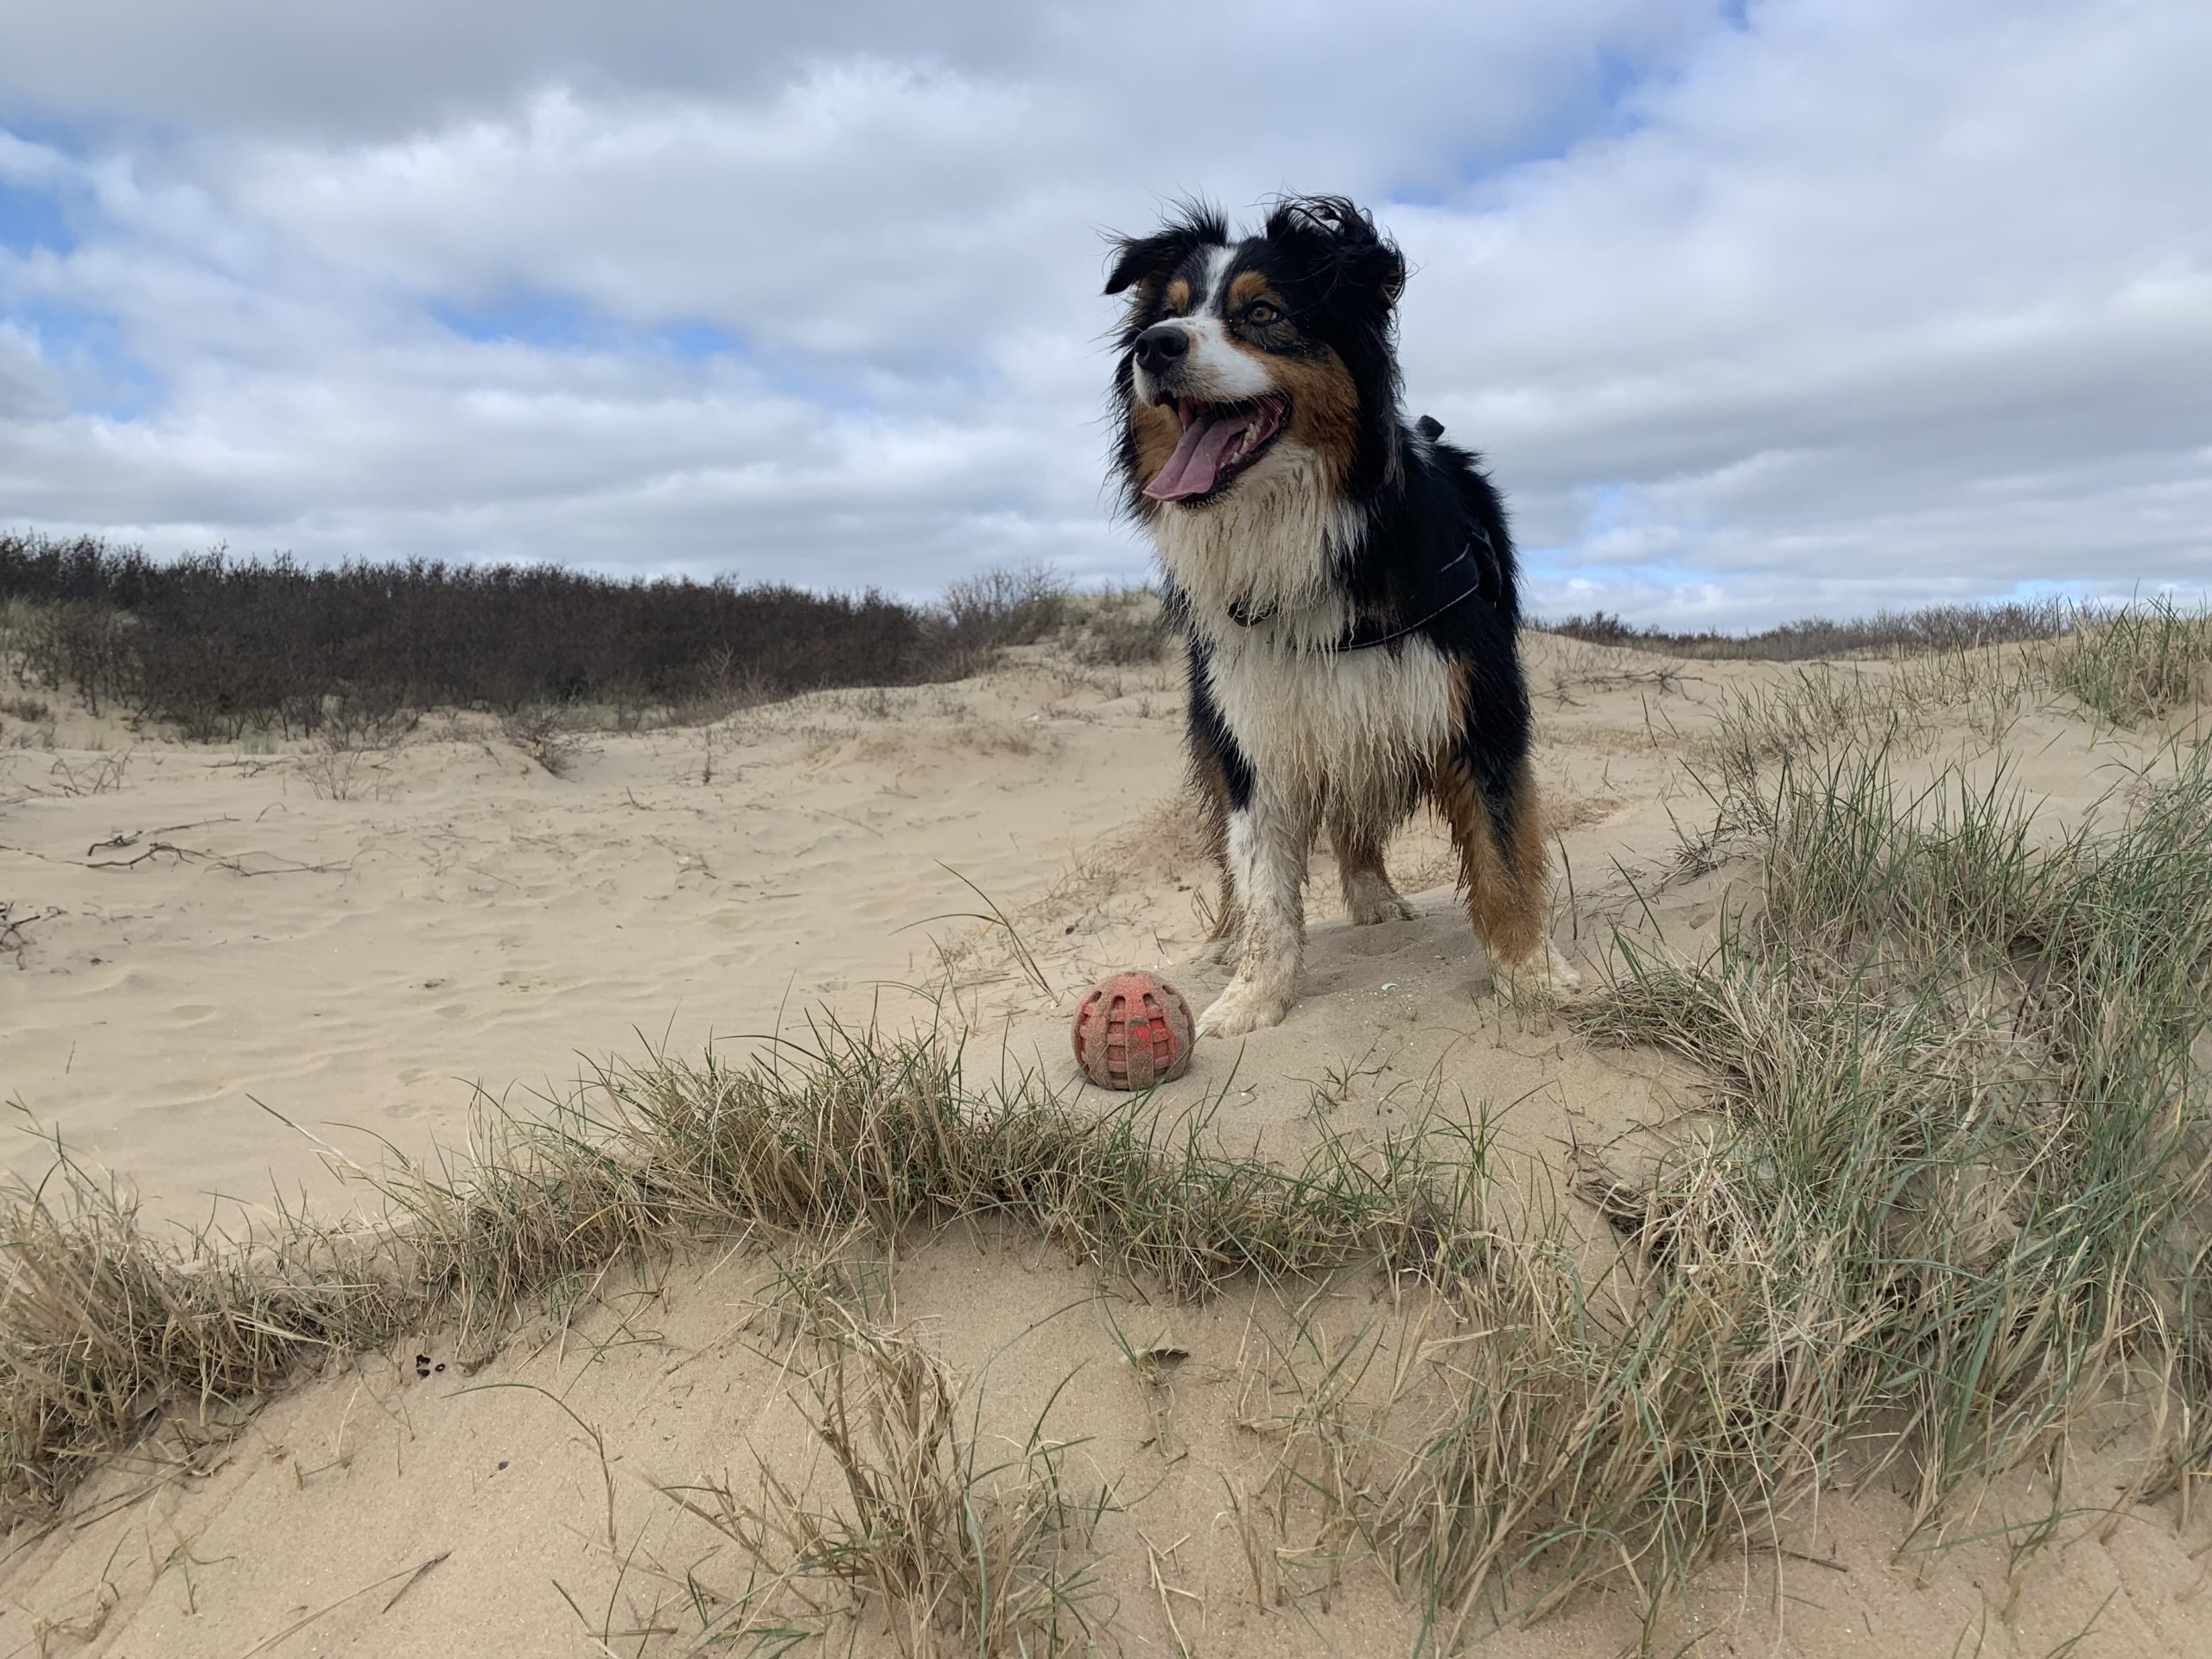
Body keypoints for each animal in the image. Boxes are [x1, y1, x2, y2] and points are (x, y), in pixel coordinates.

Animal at [1101, 188, 1574, 1035]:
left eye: (1261, 313)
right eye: (1172, 311)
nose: (1154, 348)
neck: (1309, 534)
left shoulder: (1472, 706)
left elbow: (1503, 856)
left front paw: (1531, 977)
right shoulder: (1255, 725)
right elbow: (1260, 883)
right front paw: (1252, 998)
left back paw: (1377, 901)